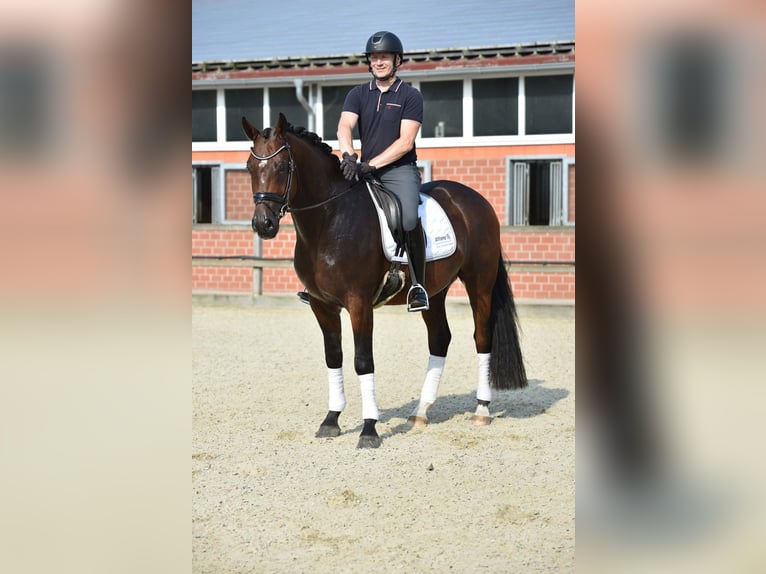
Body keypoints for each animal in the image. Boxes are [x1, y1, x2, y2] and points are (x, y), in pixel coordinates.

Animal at [243, 113, 524, 450]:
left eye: (283, 166)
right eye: (249, 167)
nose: (263, 224)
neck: (330, 220)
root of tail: (476, 200)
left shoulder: (359, 303)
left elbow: (363, 361)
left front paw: (369, 429)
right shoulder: (322, 305)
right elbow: (333, 357)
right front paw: (331, 420)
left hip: (479, 283)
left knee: (482, 337)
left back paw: (481, 409)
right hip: (434, 293)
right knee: (439, 339)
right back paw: (420, 413)